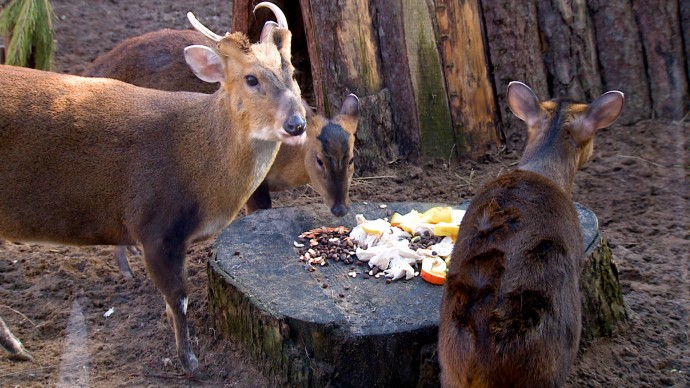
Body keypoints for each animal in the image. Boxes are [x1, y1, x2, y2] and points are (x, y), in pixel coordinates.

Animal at [0, 2, 304, 372]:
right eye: (251, 79)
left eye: (292, 72)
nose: (296, 123)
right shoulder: (155, 226)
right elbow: (179, 298)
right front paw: (190, 362)